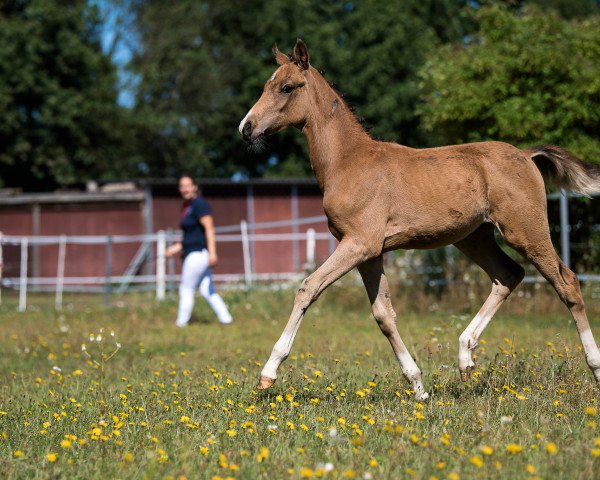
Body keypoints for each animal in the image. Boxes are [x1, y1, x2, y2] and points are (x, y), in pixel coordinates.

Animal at [238, 38, 600, 402]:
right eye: (266, 85)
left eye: (286, 87)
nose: (246, 128)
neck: (348, 162)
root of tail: (526, 155)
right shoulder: (369, 252)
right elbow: (383, 315)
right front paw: (419, 388)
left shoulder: (359, 244)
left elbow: (308, 288)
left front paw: (268, 372)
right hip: (474, 237)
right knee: (508, 275)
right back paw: (465, 357)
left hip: (525, 231)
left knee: (567, 282)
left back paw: (594, 367)